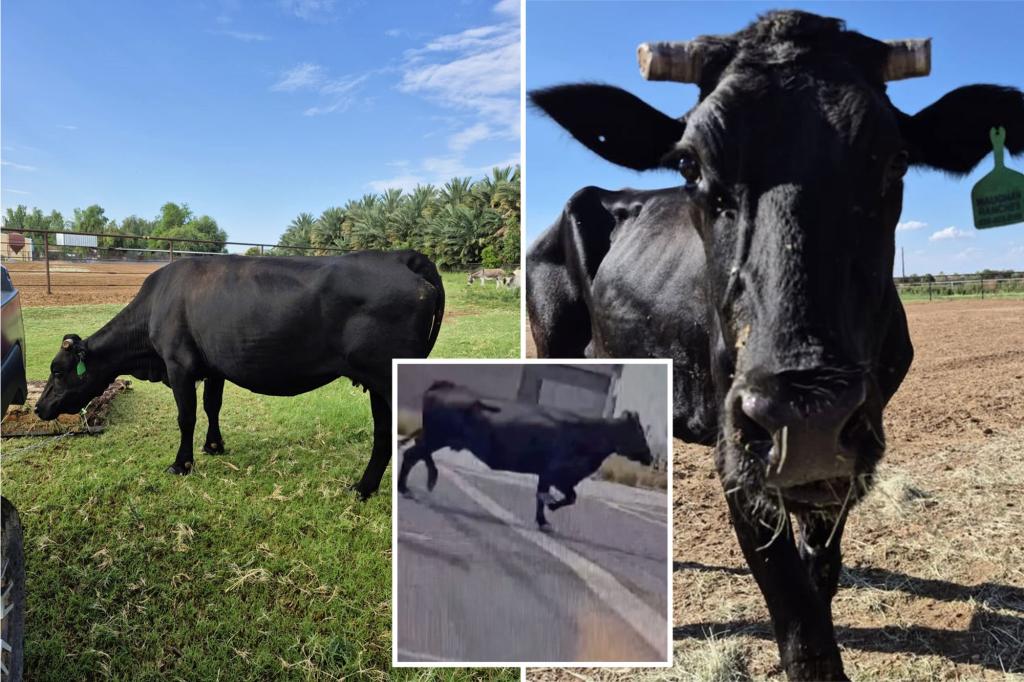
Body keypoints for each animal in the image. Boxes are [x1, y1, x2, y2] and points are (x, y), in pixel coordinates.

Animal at [34, 251, 445, 500]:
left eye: (58, 370)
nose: (39, 408)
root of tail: (401, 257)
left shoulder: (179, 365)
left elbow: (186, 416)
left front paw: (181, 463)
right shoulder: (213, 366)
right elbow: (212, 406)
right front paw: (214, 446)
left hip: (385, 376)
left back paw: (365, 487)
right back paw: (366, 487)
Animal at [396, 380, 654, 530]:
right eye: (639, 432)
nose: (650, 457)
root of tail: (445, 385)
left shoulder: (548, 474)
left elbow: (551, 497)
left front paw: (543, 519)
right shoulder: (557, 473)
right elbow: (567, 497)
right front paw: (550, 509)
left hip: (437, 437)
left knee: (416, 452)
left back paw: (425, 480)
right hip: (437, 436)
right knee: (412, 454)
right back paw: (411, 486)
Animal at [527, 10, 1024, 680]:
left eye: (895, 161)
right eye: (690, 166)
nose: (804, 418)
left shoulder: (849, 448)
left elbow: (822, 566)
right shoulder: (735, 444)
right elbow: (796, 612)